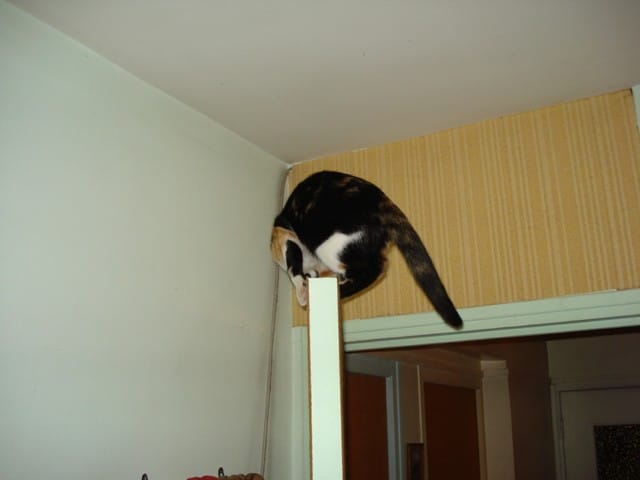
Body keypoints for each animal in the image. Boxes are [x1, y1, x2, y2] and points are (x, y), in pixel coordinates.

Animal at [271, 170, 463, 329]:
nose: (312, 274)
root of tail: (383, 202)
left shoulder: (285, 237)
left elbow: (293, 270)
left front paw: (301, 293)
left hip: (329, 245)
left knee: (372, 270)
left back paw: (342, 289)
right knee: (378, 264)